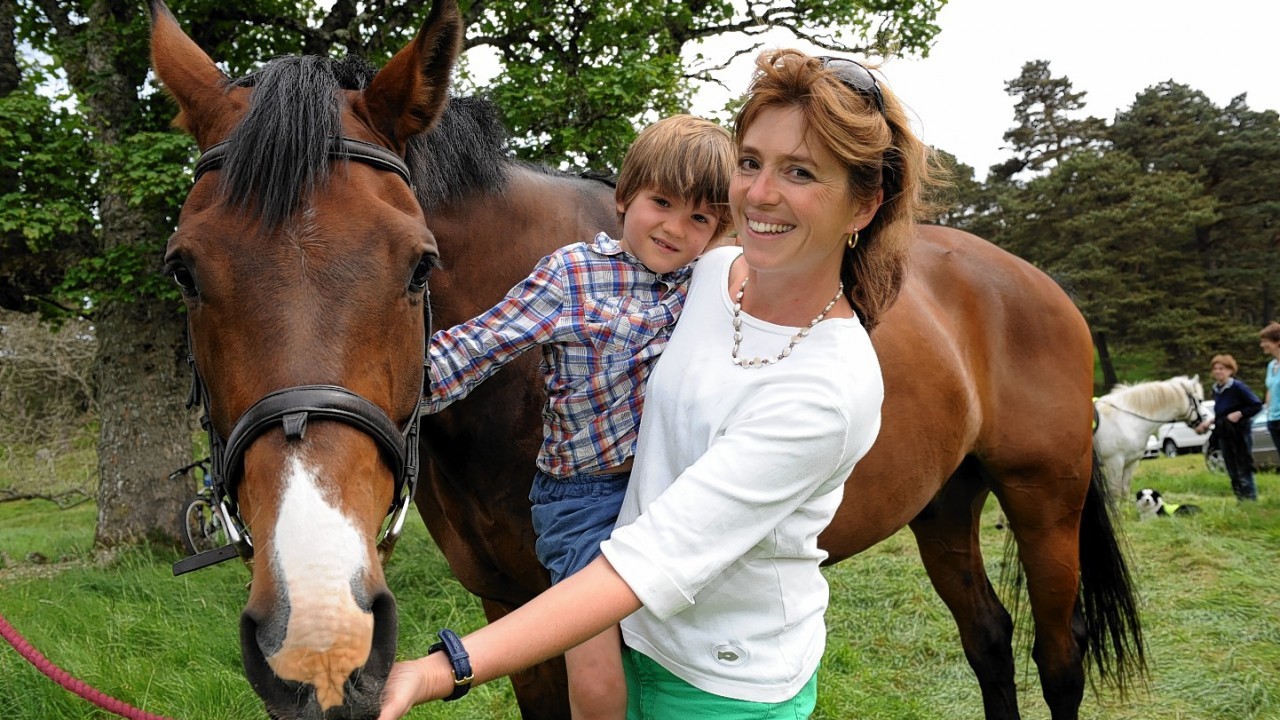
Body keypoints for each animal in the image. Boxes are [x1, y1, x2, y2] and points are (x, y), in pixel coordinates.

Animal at [147, 1, 1141, 717]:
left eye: (418, 263)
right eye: (184, 269)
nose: (318, 631)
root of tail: (1034, 282)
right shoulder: (512, 609)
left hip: (1044, 502)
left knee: (1056, 658)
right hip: (944, 502)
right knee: (989, 641)